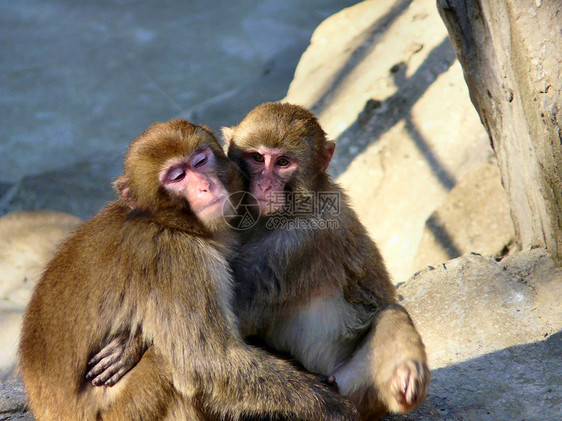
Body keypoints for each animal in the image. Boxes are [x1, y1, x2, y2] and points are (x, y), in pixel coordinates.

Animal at [20, 118, 358, 420]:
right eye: (178, 176)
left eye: (200, 160)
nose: (206, 186)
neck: (165, 221)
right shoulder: (176, 258)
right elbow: (210, 365)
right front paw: (332, 407)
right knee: (164, 364)